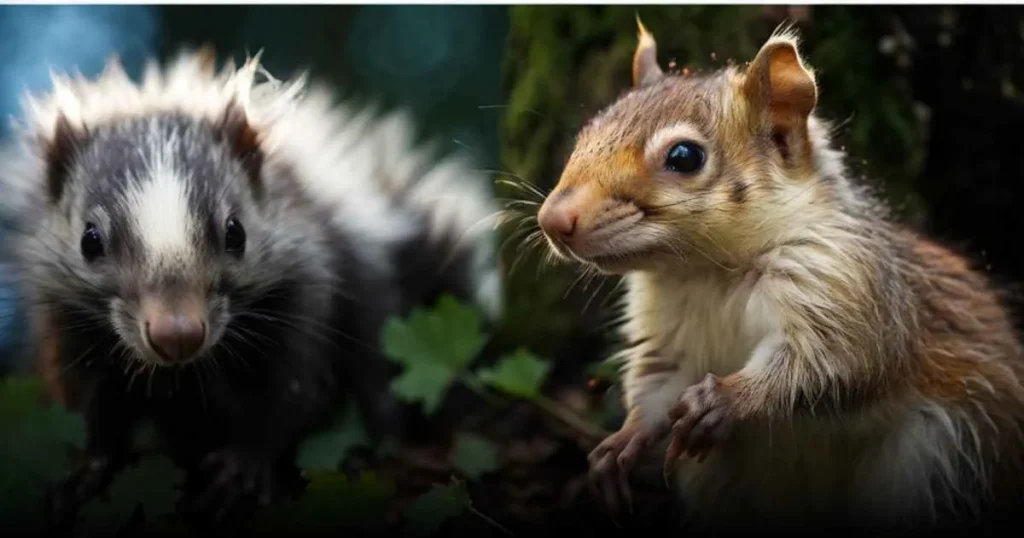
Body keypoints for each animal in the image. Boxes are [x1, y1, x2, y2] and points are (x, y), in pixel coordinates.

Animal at [0, 48, 499, 528]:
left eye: (235, 232)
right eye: (90, 240)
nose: (177, 333)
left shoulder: (310, 277)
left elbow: (294, 385)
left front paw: (243, 471)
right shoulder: (62, 312)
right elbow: (79, 399)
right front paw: (83, 474)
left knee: (380, 382)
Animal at [532, 15, 1024, 532]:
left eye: (685, 157)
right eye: (587, 132)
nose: (553, 220)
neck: (711, 273)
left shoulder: (849, 291)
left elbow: (828, 365)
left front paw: (727, 400)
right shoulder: (665, 334)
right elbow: (657, 381)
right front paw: (624, 440)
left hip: (937, 464)